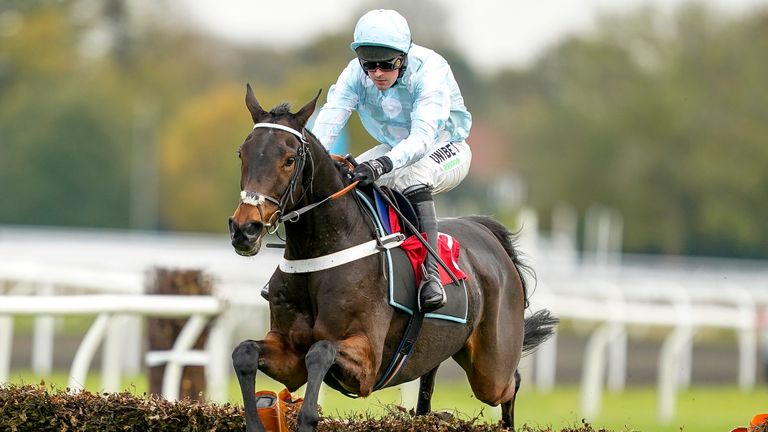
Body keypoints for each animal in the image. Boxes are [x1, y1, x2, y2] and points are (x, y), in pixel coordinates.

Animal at [228, 83, 560, 432]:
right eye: (242, 154)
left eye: (289, 159)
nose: (245, 228)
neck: (321, 252)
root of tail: (486, 231)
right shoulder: (288, 353)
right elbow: (244, 351)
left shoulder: (367, 362)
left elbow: (320, 351)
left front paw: (307, 418)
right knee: (430, 382)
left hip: (491, 368)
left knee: (510, 383)